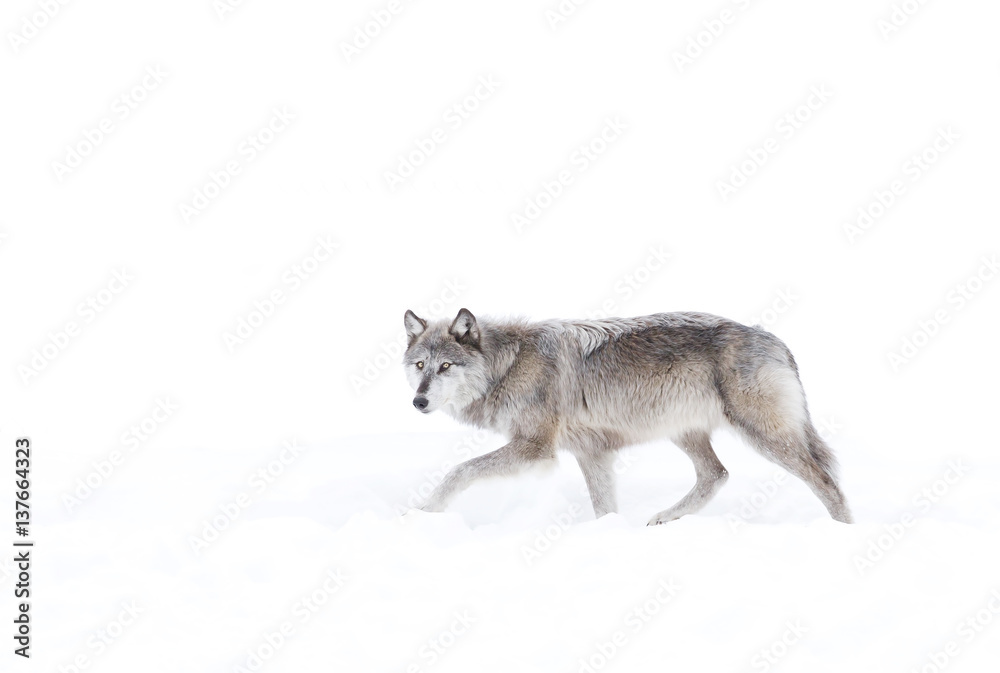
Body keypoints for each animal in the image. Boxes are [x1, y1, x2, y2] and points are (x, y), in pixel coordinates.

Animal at [402, 308, 852, 525]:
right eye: (420, 365)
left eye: (446, 367)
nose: (418, 403)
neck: (508, 365)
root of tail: (773, 338)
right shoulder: (592, 453)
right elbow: (605, 508)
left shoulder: (535, 448)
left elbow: (459, 470)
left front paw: (424, 512)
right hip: (684, 432)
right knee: (717, 474)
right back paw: (665, 519)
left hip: (763, 437)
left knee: (826, 481)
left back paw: (843, 532)